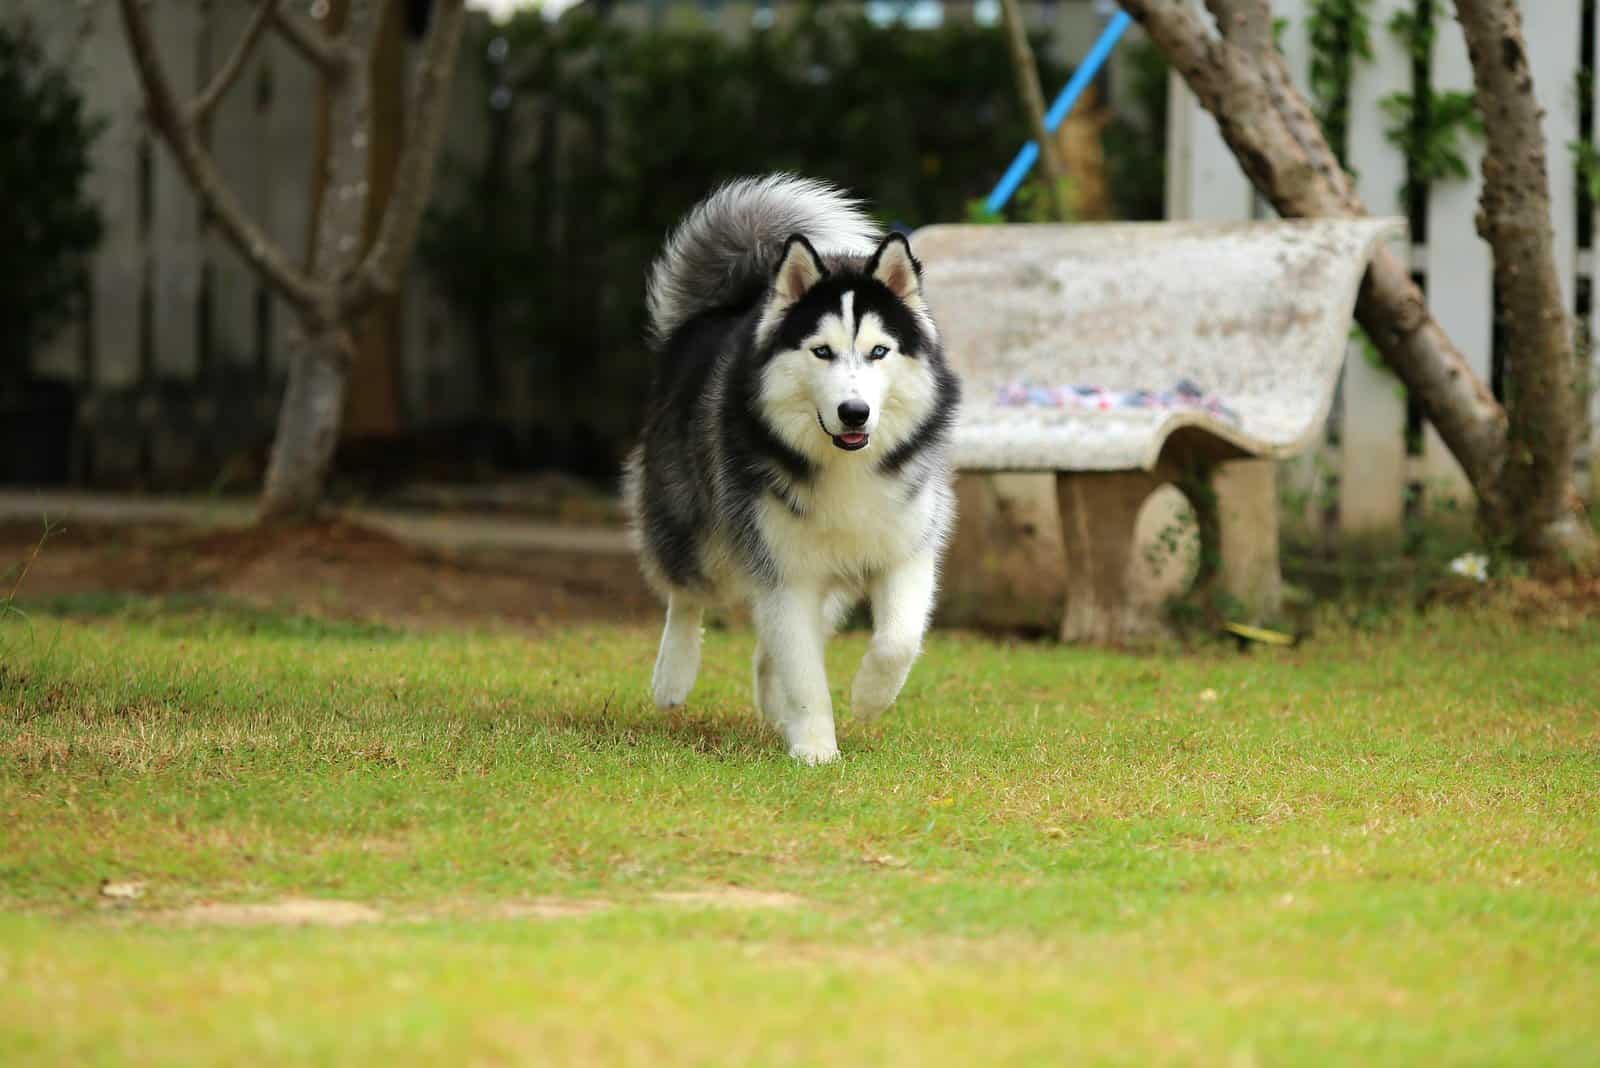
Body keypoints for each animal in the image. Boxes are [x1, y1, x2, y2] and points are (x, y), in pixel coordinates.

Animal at [617, 175, 953, 764]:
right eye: (821, 352)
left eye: (879, 351)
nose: (854, 412)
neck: (845, 464)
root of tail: (723, 307)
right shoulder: (784, 568)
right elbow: (804, 671)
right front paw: (816, 748)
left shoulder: (906, 548)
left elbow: (897, 640)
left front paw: (868, 698)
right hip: (697, 527)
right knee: (687, 592)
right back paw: (674, 673)